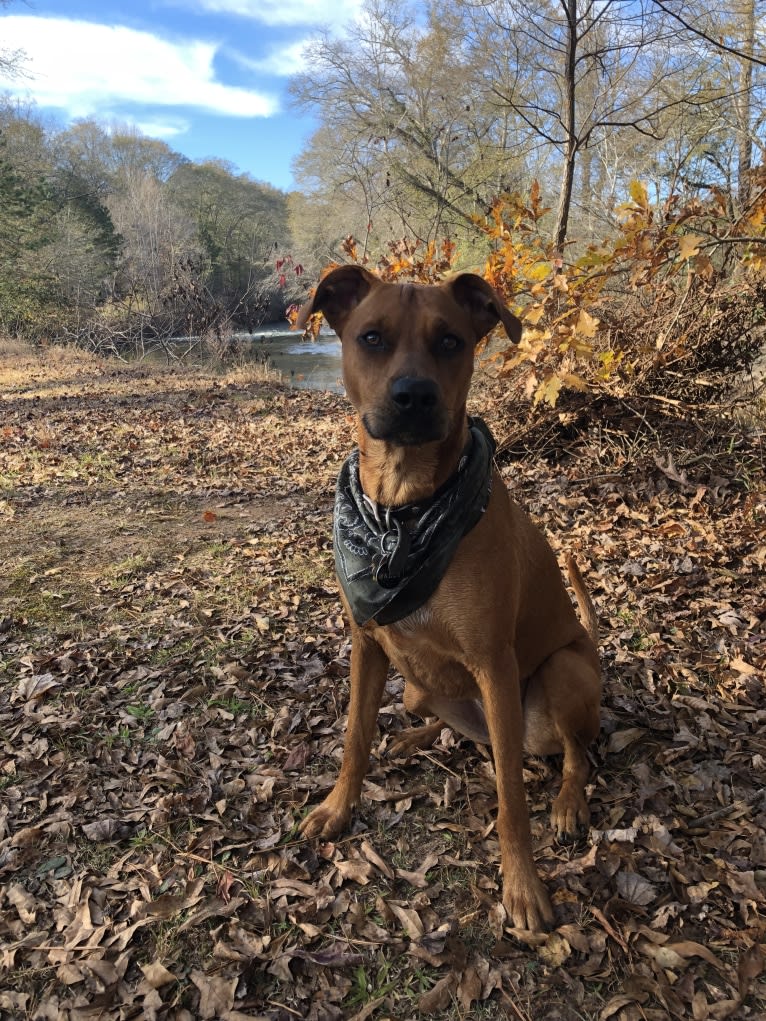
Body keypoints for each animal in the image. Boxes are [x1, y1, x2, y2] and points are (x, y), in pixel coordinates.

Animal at [296, 265, 604, 935]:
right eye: (372, 337)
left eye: (450, 342)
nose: (413, 395)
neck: (403, 510)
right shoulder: (366, 641)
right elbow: (354, 735)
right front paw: (338, 805)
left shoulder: (495, 664)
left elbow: (511, 798)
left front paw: (522, 884)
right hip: (419, 686)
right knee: (450, 725)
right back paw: (416, 738)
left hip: (564, 670)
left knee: (574, 752)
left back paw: (569, 802)